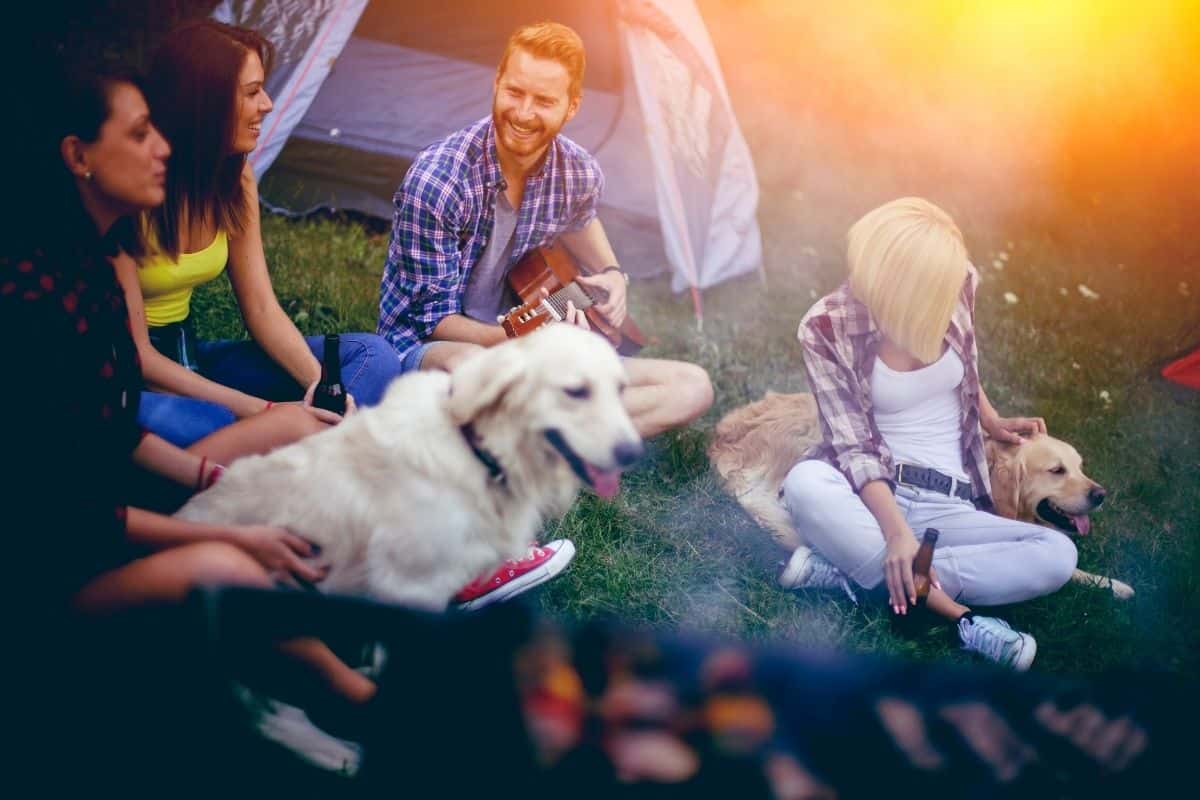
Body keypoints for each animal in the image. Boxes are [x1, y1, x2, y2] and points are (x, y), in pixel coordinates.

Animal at [705, 391, 1128, 597]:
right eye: (1057, 471)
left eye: (1080, 467)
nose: (1100, 494)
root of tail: (721, 439)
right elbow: (1072, 565)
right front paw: (1118, 587)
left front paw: (1116, 584)